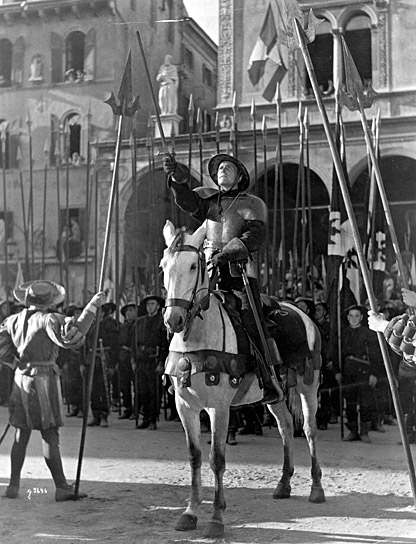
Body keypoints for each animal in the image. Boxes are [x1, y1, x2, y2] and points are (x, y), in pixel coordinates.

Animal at [160, 221, 324, 540]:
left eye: (193, 266)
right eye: (164, 266)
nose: (173, 319)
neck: (198, 337)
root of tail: (303, 314)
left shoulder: (219, 408)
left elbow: (216, 459)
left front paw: (216, 519)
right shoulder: (185, 407)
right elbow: (194, 456)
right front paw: (190, 513)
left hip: (308, 385)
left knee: (309, 429)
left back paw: (316, 488)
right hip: (275, 393)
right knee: (286, 427)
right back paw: (284, 484)